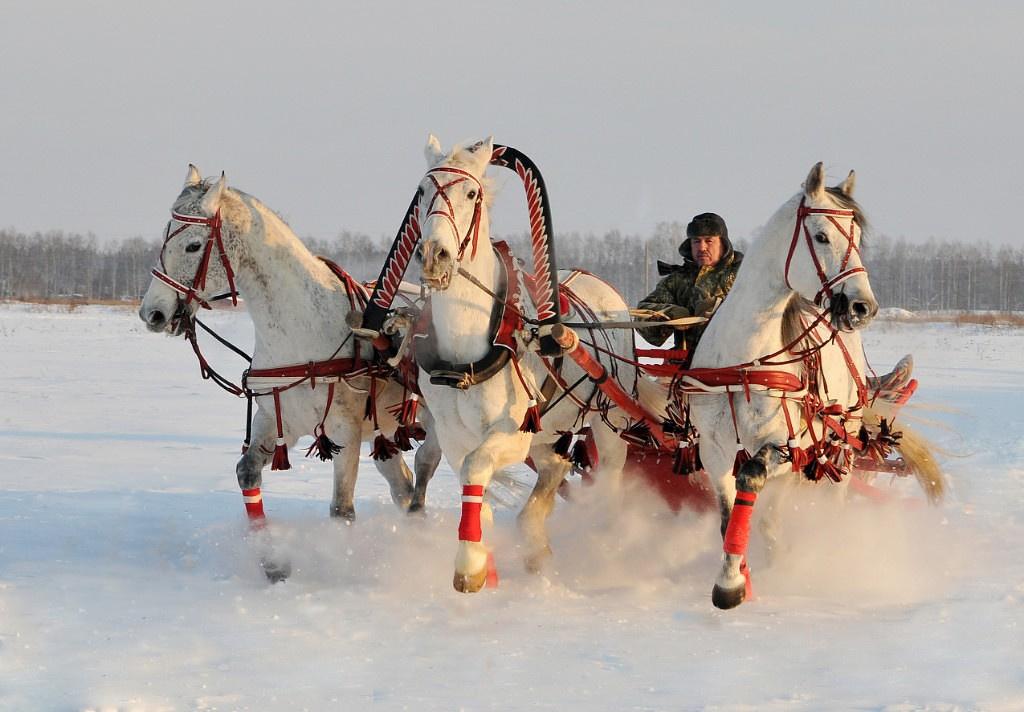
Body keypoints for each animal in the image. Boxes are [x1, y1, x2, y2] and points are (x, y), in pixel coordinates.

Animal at [139, 165, 440, 577]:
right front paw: (272, 563)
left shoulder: (343, 432)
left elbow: (342, 510)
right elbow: (247, 474)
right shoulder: (275, 420)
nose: (151, 313)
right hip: (386, 435)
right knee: (405, 487)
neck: (299, 330)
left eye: (193, 246)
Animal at [411, 136, 634, 594]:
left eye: (472, 193)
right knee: (554, 466)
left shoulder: (511, 432)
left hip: (610, 422)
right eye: (422, 192)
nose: (434, 255)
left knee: (610, 474)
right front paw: (485, 560)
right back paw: (537, 544)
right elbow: (470, 480)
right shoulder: (453, 433)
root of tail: (599, 284)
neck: (464, 350)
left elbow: (477, 467)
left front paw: (469, 564)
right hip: (549, 432)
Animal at [684, 163, 884, 610]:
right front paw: (739, 574)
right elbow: (728, 516)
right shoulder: (714, 449)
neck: (746, 362)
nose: (862, 307)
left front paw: (730, 584)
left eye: (858, 238)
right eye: (822, 236)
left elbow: (751, 479)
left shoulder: (783, 443)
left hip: (840, 439)